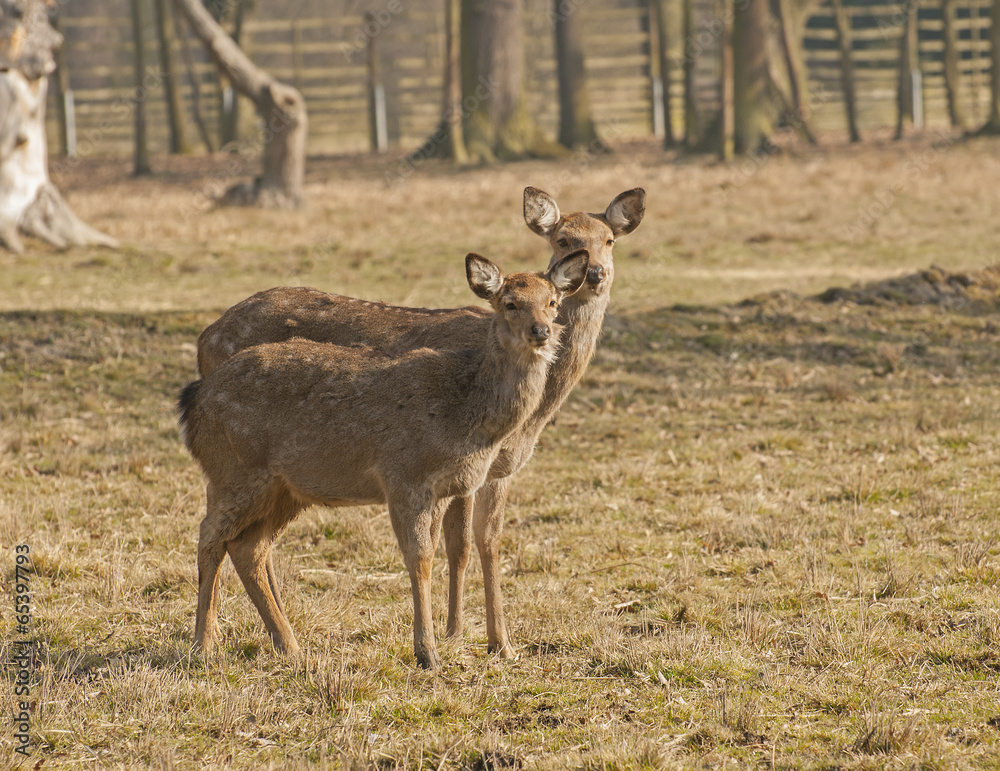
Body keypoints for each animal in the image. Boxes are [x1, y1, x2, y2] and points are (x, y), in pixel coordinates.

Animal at [193, 185, 648, 656]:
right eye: (563, 238)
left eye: (609, 240)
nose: (594, 273)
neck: (532, 418)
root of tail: (205, 337)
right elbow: (458, 546)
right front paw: (455, 634)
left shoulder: (501, 468)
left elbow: (489, 542)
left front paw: (501, 643)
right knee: (222, 532)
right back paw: (220, 636)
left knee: (251, 541)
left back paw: (276, 633)